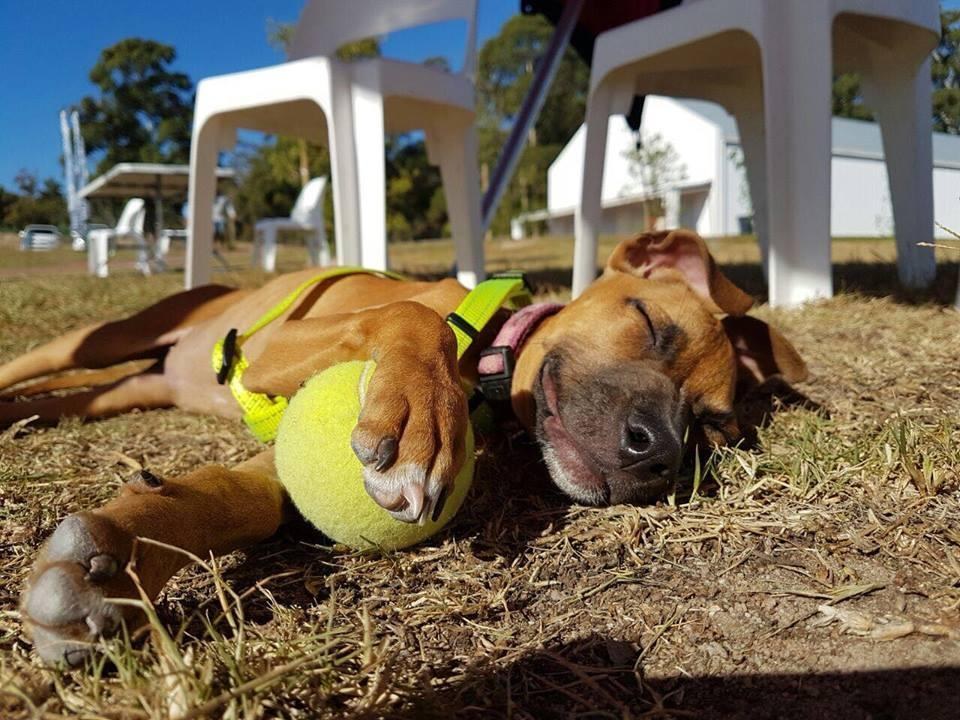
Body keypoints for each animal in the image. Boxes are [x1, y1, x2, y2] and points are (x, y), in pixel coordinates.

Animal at [3, 231, 808, 664]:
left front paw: (114, 569)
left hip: (129, 389)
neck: (487, 357)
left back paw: (20, 417)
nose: (658, 452)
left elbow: (231, 500)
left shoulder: (280, 448)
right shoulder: (275, 348)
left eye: (710, 426)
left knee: (71, 398)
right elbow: (408, 318)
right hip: (103, 338)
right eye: (646, 321)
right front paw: (427, 412)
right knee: (43, 363)